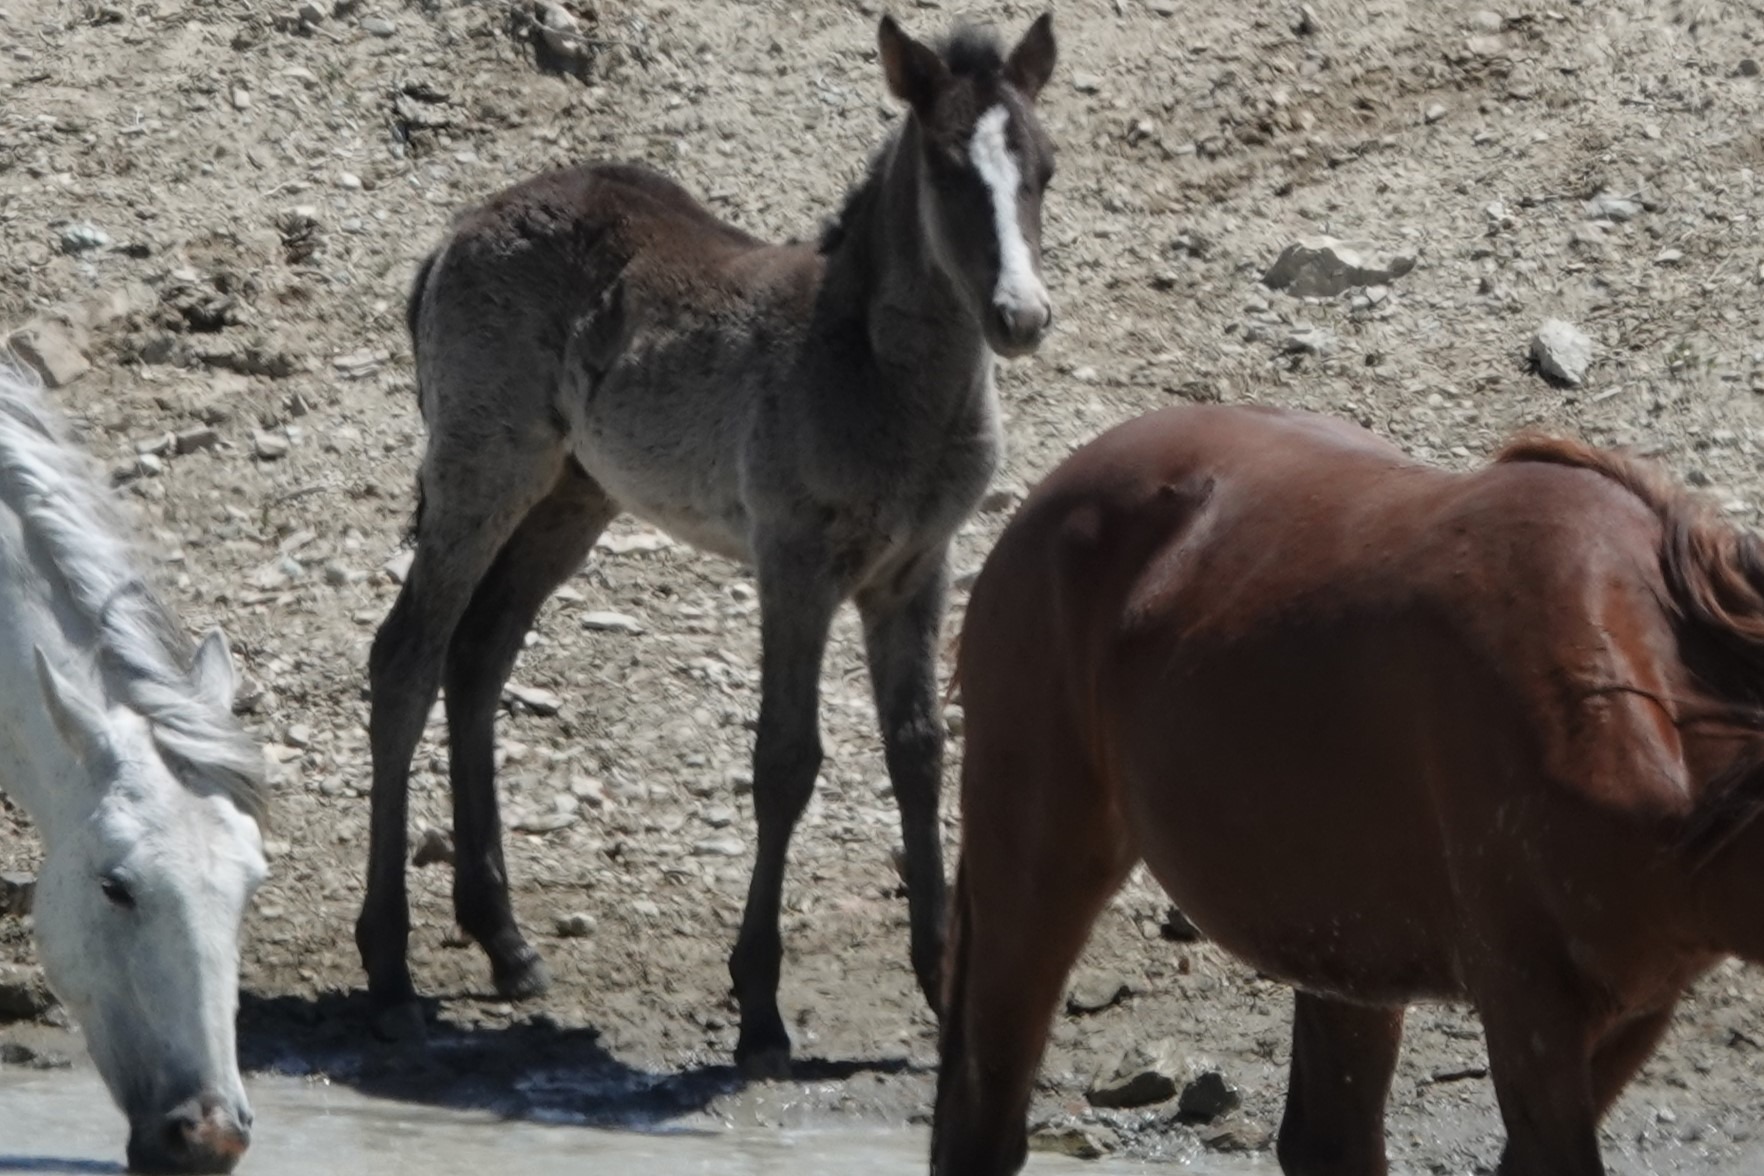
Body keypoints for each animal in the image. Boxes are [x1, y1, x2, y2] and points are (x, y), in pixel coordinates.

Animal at [355, 12, 1058, 1074]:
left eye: (1045, 168)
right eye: (945, 169)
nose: (1021, 316)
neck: (872, 374)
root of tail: (454, 233)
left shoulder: (916, 571)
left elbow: (920, 752)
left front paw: (942, 987)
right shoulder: (794, 565)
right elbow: (786, 760)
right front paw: (759, 1006)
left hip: (574, 496)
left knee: (477, 655)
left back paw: (506, 942)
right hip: (484, 470)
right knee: (406, 657)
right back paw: (390, 969)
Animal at [934, 402, 1764, 1176]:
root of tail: (1040, 507)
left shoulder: (1637, 1011)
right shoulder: (1530, 1010)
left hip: (1346, 951)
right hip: (1039, 872)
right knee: (985, 1108)